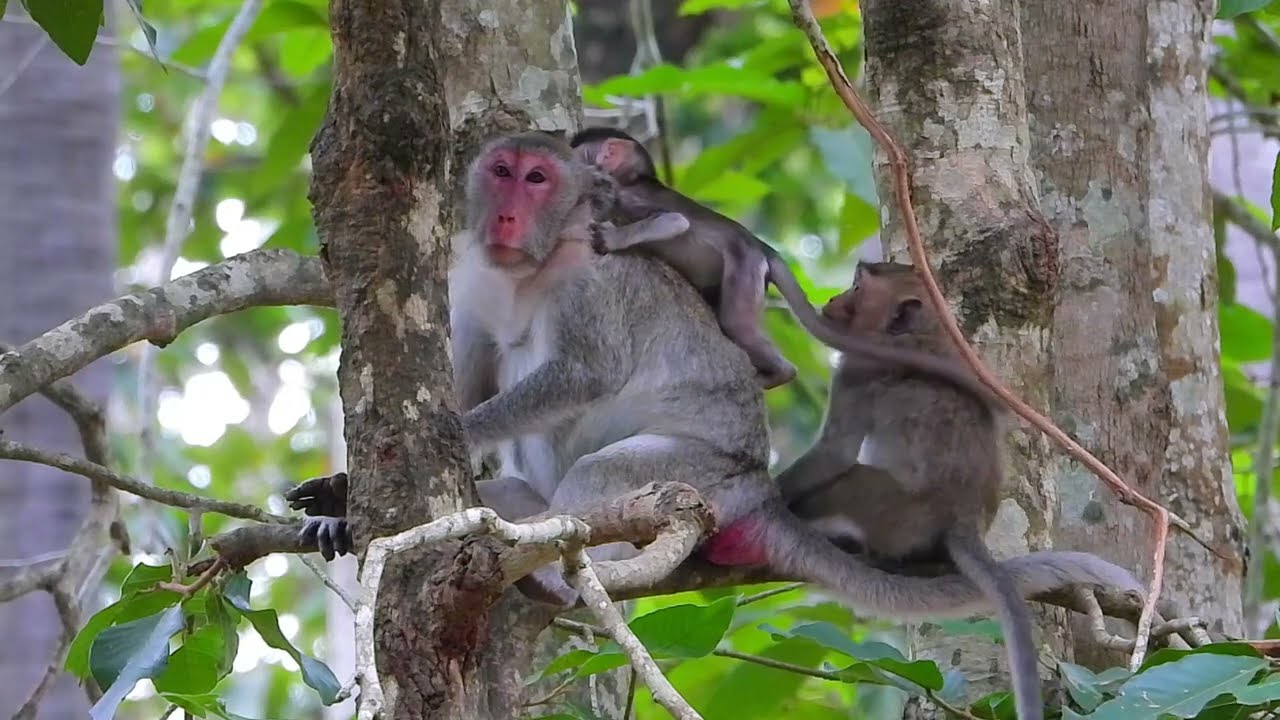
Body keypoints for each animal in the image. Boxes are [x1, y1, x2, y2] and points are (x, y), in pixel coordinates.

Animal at [568, 127, 1000, 406]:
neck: (629, 179)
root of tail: (764, 249)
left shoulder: (627, 197)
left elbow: (675, 222)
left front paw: (611, 239)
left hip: (744, 271)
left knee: (738, 325)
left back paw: (778, 373)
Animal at [776, 260, 1053, 720]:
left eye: (857, 287)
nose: (833, 299)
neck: (919, 333)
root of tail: (963, 519)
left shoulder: (855, 373)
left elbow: (835, 452)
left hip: (891, 511)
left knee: (853, 478)